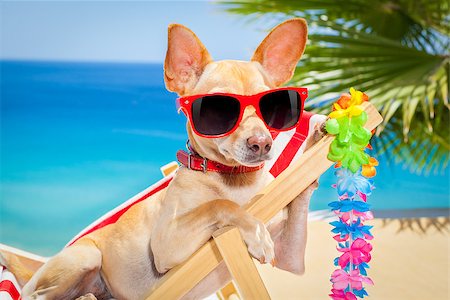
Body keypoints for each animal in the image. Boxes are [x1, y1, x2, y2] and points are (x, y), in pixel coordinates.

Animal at [7, 18, 324, 300]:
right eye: (218, 110)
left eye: (273, 105)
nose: (262, 143)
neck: (235, 181)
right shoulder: (168, 243)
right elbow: (218, 206)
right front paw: (254, 230)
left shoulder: (291, 258)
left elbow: (297, 203)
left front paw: (317, 137)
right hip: (86, 257)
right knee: (33, 296)